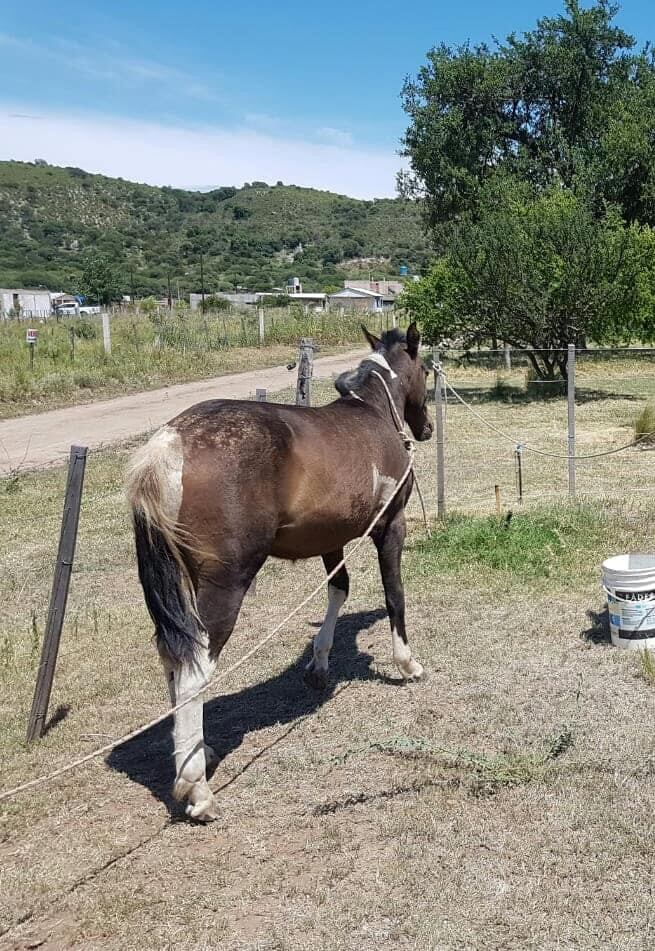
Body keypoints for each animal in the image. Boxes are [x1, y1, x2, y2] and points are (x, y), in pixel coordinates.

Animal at [127, 324, 436, 820]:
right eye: (425, 369)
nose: (426, 429)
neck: (371, 414)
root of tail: (170, 443)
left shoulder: (331, 539)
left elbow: (338, 590)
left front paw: (319, 665)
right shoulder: (390, 527)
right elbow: (395, 595)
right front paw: (407, 664)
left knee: (173, 656)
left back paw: (198, 751)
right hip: (225, 587)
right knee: (194, 668)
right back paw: (196, 790)